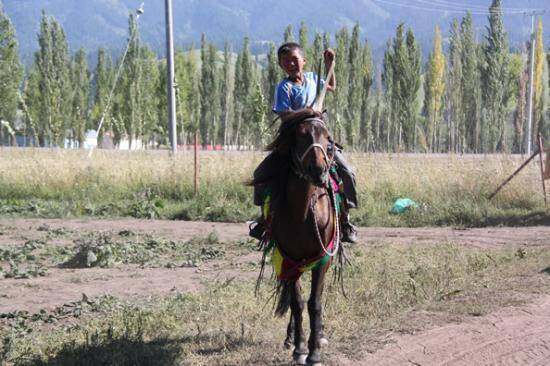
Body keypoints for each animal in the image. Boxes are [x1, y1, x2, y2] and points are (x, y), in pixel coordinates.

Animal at [256, 109, 342, 366]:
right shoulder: (288, 259)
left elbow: (315, 303)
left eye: (328, 138)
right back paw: (290, 338)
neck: (302, 212)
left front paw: (315, 352)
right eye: (301, 136)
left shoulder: (322, 259)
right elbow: (297, 302)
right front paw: (300, 348)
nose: (318, 170)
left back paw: (319, 335)